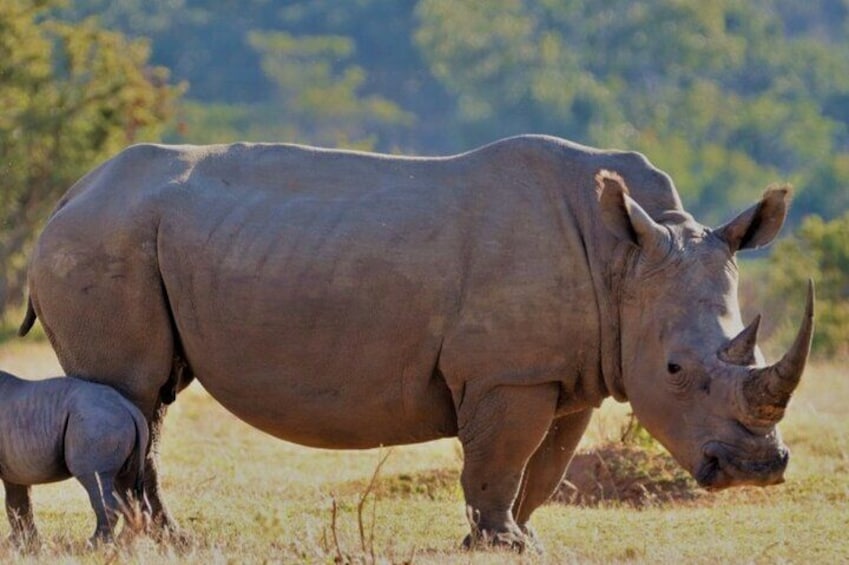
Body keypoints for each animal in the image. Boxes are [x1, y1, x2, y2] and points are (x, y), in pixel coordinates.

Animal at [0, 368, 148, 548]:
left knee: (94, 478)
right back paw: (125, 542)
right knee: (128, 484)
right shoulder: (14, 466)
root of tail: (129, 408)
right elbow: (17, 502)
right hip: (111, 422)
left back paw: (94, 544)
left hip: (97, 422)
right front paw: (23, 545)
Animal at [23, 134, 812, 548]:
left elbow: (544, 467)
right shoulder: (508, 373)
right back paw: (142, 540)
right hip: (101, 240)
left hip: (120, 237)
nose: (756, 470)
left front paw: (521, 541)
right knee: (130, 395)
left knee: (149, 404)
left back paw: (165, 540)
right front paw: (495, 543)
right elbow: (500, 460)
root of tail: (68, 195)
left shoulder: (570, 371)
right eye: (675, 368)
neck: (624, 260)